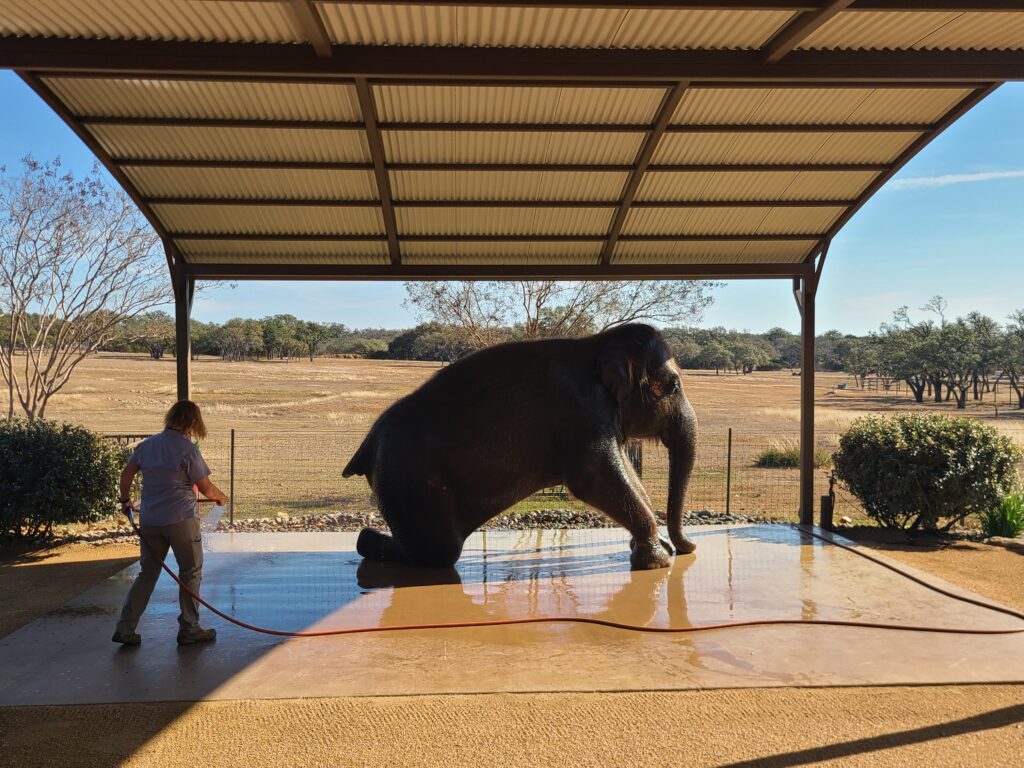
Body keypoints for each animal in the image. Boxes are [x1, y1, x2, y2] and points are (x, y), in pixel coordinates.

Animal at [343, 323, 698, 571]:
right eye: (672, 387)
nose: (689, 547)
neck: (598, 343)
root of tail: (368, 442)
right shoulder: (582, 410)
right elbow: (594, 477)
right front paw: (658, 561)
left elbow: (625, 472)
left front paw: (658, 550)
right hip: (410, 479)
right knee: (438, 551)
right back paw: (366, 540)